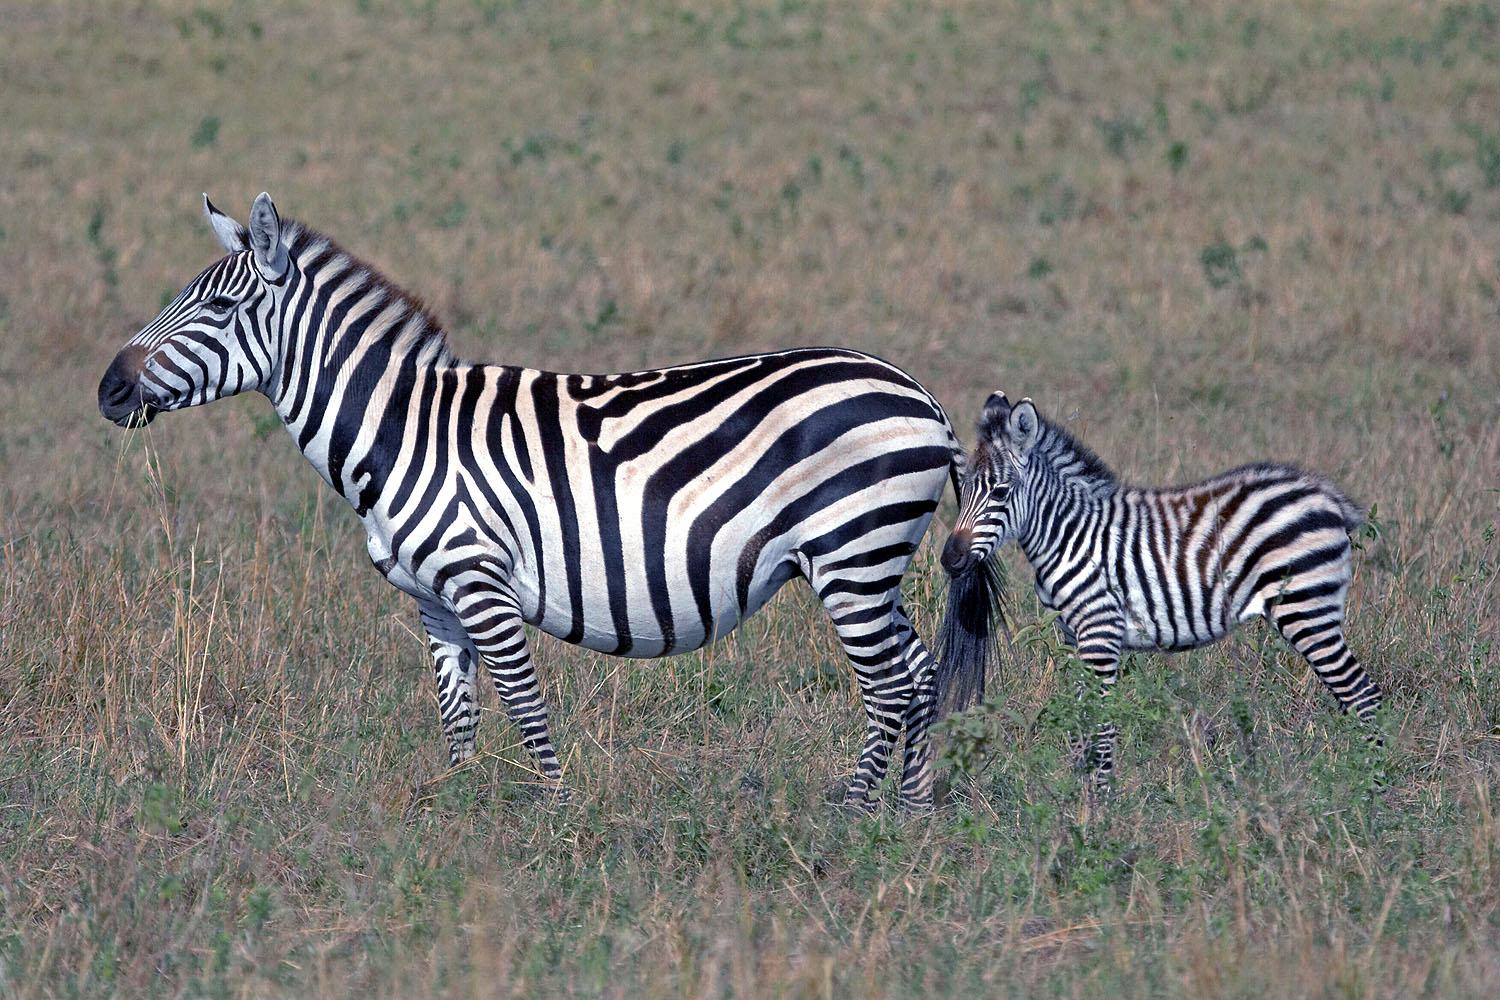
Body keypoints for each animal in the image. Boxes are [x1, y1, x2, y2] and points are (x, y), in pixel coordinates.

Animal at [97, 192, 997, 811]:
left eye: (219, 307)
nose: (108, 390)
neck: (400, 431)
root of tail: (923, 397)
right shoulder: (433, 599)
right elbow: (457, 713)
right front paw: (457, 814)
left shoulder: (480, 581)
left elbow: (524, 703)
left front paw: (557, 817)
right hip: (868, 563)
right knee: (918, 672)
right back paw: (910, 812)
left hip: (852, 554)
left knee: (890, 685)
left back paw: (857, 811)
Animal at [939, 391, 1382, 792]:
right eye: (961, 486)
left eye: (1000, 492)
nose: (950, 559)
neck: (1066, 534)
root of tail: (1324, 493)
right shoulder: (1070, 634)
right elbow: (1080, 718)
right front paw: (1076, 798)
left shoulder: (1100, 631)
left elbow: (1101, 723)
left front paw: (1099, 807)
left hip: (1306, 609)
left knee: (1363, 696)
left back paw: (1373, 791)